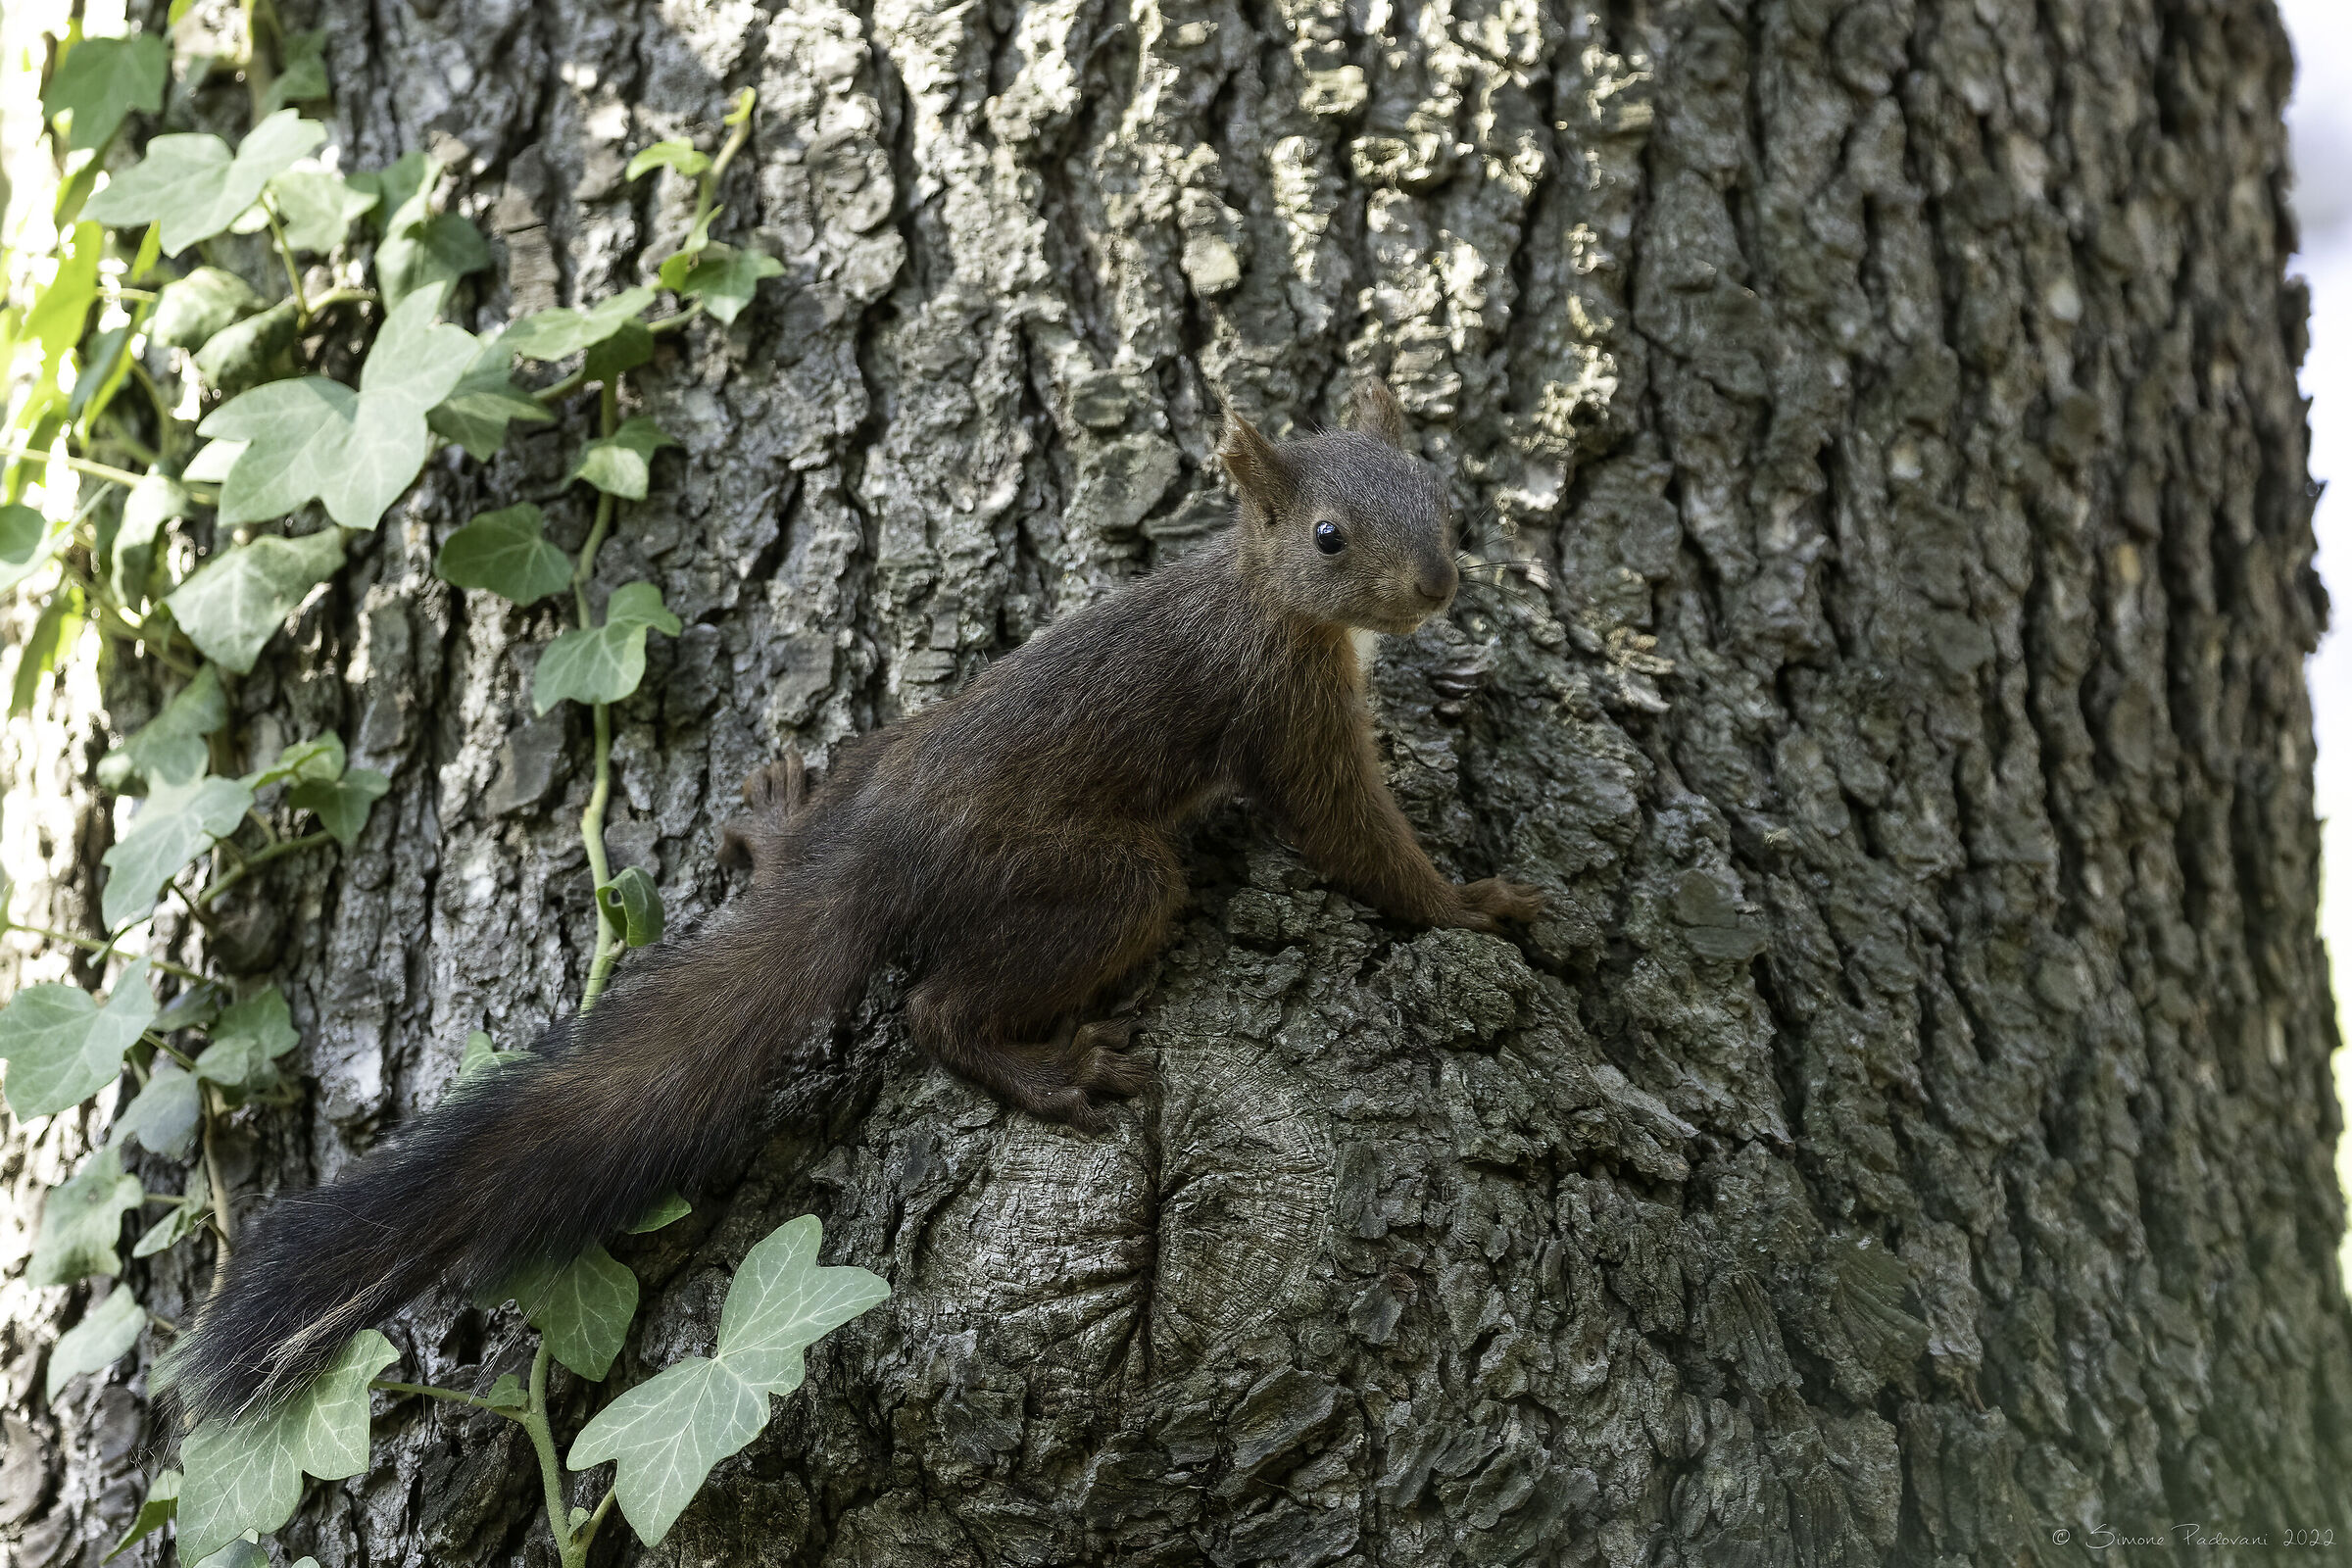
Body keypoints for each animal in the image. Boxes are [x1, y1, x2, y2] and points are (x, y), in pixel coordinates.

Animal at [164, 378, 1545, 1419]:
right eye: (1328, 538)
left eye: (1444, 496)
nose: (1438, 588)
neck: (1255, 588)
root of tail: (869, 858)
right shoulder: (1281, 706)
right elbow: (1350, 833)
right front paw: (1470, 902)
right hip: (1095, 880)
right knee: (941, 1007)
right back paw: (1051, 1067)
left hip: (883, 764)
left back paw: (779, 828)